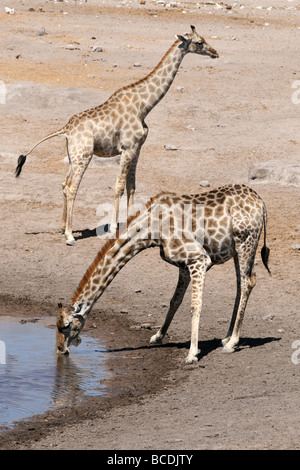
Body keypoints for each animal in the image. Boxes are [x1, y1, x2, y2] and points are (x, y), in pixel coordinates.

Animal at [15, 25, 218, 246]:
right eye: (199, 42)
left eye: (204, 38)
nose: (215, 53)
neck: (144, 106)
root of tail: (66, 129)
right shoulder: (127, 148)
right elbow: (119, 187)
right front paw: (113, 228)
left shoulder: (137, 148)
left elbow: (132, 186)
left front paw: (131, 224)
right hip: (84, 156)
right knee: (71, 188)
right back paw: (69, 236)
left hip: (72, 156)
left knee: (63, 184)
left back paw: (62, 228)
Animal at [55, 184, 270, 364]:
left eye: (66, 325)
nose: (59, 349)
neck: (152, 230)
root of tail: (261, 203)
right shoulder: (183, 265)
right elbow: (175, 300)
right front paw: (157, 336)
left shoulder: (198, 259)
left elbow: (195, 306)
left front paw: (192, 354)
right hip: (236, 249)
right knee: (240, 284)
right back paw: (226, 337)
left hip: (246, 241)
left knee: (248, 282)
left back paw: (232, 343)